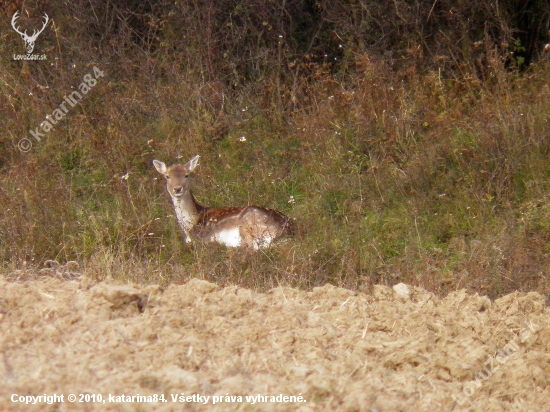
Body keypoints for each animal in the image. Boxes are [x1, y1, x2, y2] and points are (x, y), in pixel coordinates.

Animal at [153, 155, 296, 249]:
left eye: (186, 175)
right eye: (167, 176)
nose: (177, 189)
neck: (190, 225)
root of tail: (287, 230)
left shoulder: (204, 237)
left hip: (247, 224)